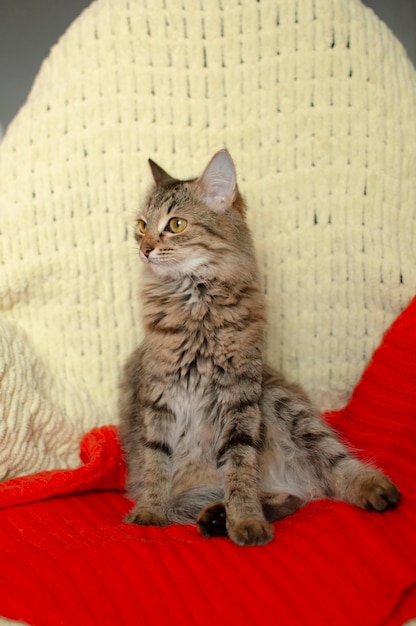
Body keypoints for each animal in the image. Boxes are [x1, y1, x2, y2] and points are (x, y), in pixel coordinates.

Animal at [118, 149, 400, 544]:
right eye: (142, 225)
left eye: (176, 224)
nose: (144, 250)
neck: (196, 302)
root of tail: (293, 478)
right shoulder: (159, 397)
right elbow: (155, 462)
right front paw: (148, 514)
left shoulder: (239, 397)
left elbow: (239, 467)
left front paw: (247, 522)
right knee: (288, 497)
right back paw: (215, 517)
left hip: (282, 404)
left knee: (331, 472)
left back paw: (372, 489)